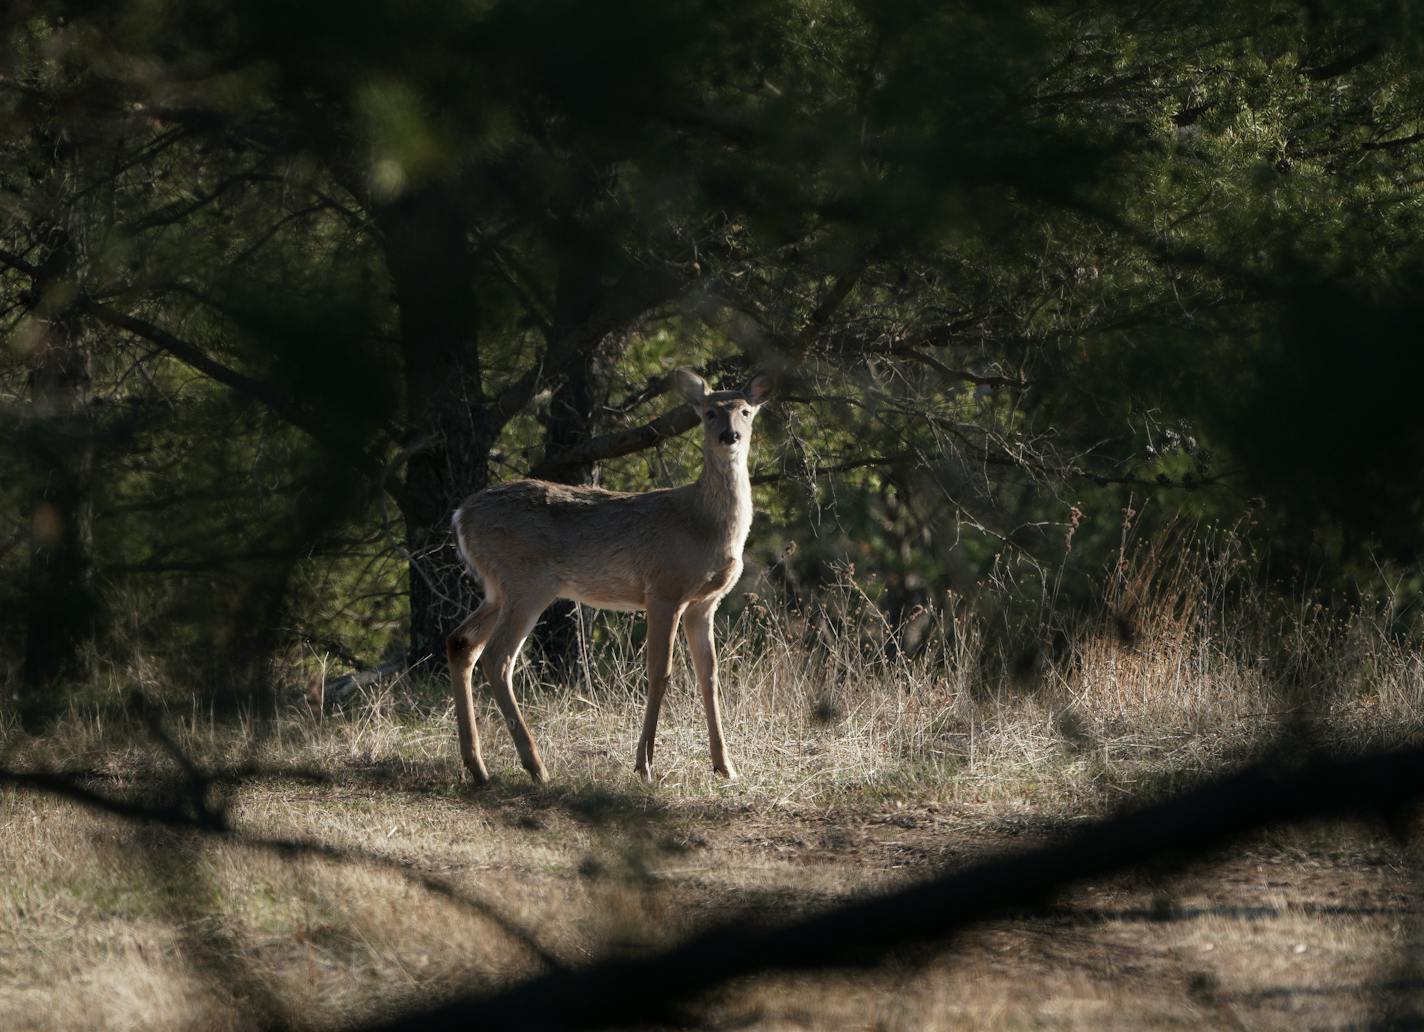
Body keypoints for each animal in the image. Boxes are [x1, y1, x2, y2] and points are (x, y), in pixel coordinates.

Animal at [447, 367, 774, 780]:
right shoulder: (663, 588)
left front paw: (725, 766)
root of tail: (461, 516)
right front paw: (644, 764)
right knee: (497, 658)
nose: (729, 436)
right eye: (709, 412)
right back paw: (536, 767)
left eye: (745, 411)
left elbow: (709, 675)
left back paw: (477, 767)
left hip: (498, 589)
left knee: (461, 643)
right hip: (526, 582)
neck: (702, 524)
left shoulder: (705, 603)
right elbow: (660, 671)